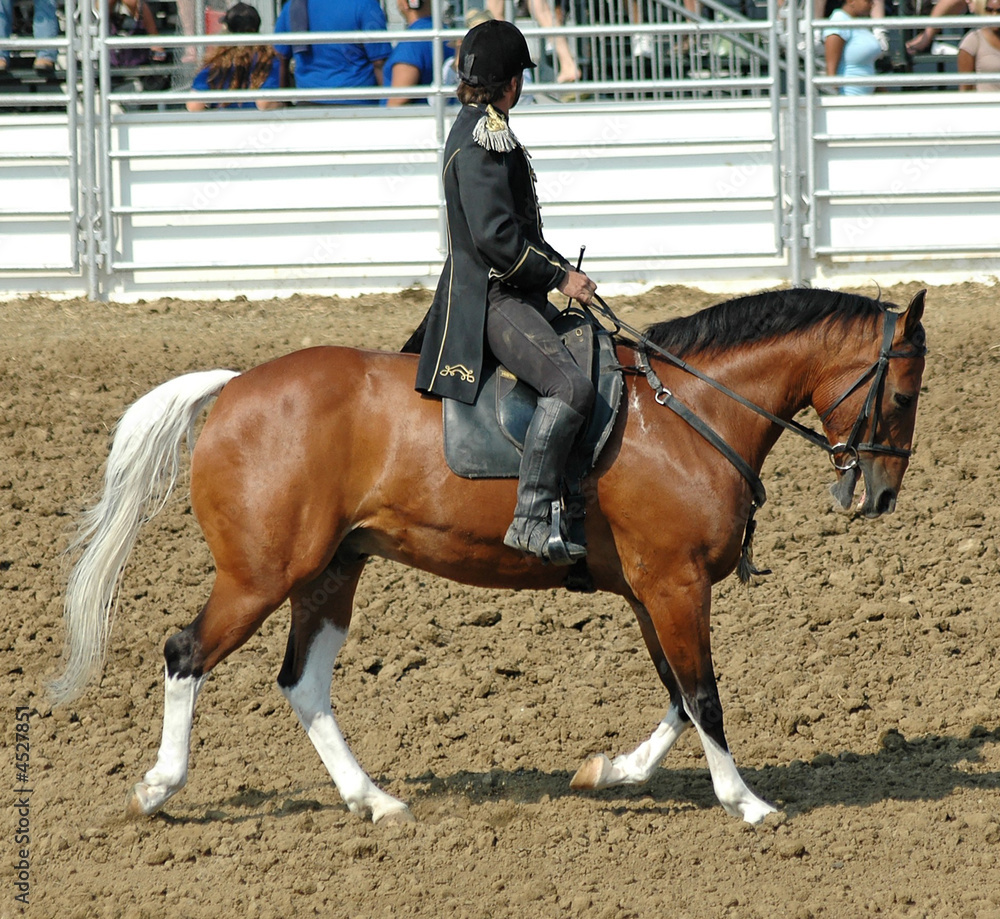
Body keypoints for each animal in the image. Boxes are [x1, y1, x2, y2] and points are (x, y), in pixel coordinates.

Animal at [50, 287, 927, 826]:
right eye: (904, 392)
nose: (881, 495)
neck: (687, 411)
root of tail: (234, 387)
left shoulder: (652, 590)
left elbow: (679, 698)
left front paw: (608, 771)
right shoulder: (673, 584)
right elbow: (704, 696)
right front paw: (746, 802)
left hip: (331, 572)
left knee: (302, 683)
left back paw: (375, 800)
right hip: (260, 576)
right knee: (186, 652)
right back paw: (159, 788)